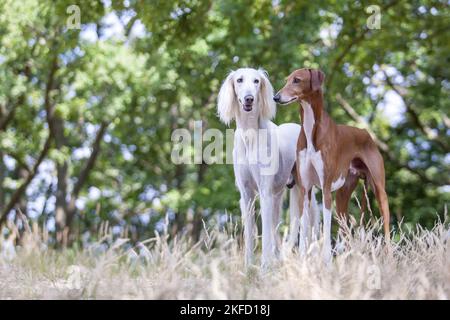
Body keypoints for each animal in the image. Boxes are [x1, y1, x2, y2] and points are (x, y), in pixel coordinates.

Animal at [217, 68, 316, 268]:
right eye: (239, 80)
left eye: (256, 81)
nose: (249, 99)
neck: (250, 135)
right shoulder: (246, 194)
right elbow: (250, 234)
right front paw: (248, 268)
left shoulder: (264, 192)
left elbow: (266, 235)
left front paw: (264, 268)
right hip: (279, 196)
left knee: (311, 225)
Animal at [274, 68, 390, 260]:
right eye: (286, 80)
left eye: (297, 80)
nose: (276, 97)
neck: (310, 130)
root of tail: (365, 132)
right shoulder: (305, 189)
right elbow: (304, 228)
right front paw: (303, 258)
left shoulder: (326, 189)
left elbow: (327, 229)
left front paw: (326, 259)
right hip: (342, 199)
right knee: (347, 233)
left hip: (379, 190)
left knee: (387, 229)